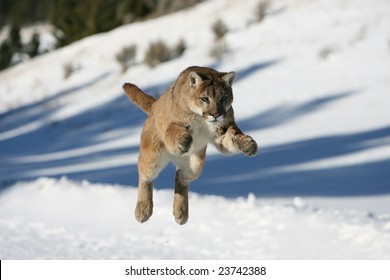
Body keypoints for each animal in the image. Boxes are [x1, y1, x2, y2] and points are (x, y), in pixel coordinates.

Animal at [123, 66, 258, 225]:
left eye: (223, 98)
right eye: (205, 98)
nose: (216, 114)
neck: (201, 119)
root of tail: (155, 105)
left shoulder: (223, 131)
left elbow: (233, 138)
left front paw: (248, 144)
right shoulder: (174, 125)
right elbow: (176, 131)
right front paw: (184, 140)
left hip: (195, 166)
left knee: (180, 176)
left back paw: (180, 213)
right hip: (152, 157)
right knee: (145, 175)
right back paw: (143, 210)